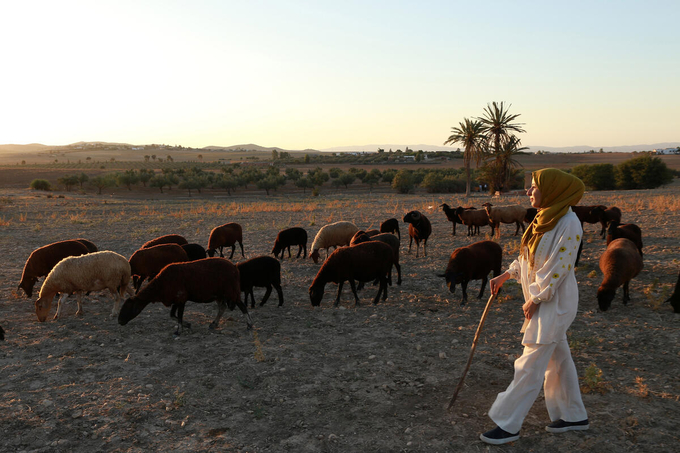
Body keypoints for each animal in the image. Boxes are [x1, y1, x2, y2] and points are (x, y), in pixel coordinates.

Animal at [119, 256, 252, 334]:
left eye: (128, 307)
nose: (119, 321)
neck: (160, 285)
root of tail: (235, 267)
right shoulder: (175, 299)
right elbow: (172, 315)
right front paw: (187, 325)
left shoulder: (181, 298)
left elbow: (179, 315)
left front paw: (179, 330)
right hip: (219, 294)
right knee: (222, 307)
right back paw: (213, 324)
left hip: (231, 290)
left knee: (242, 306)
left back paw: (249, 325)